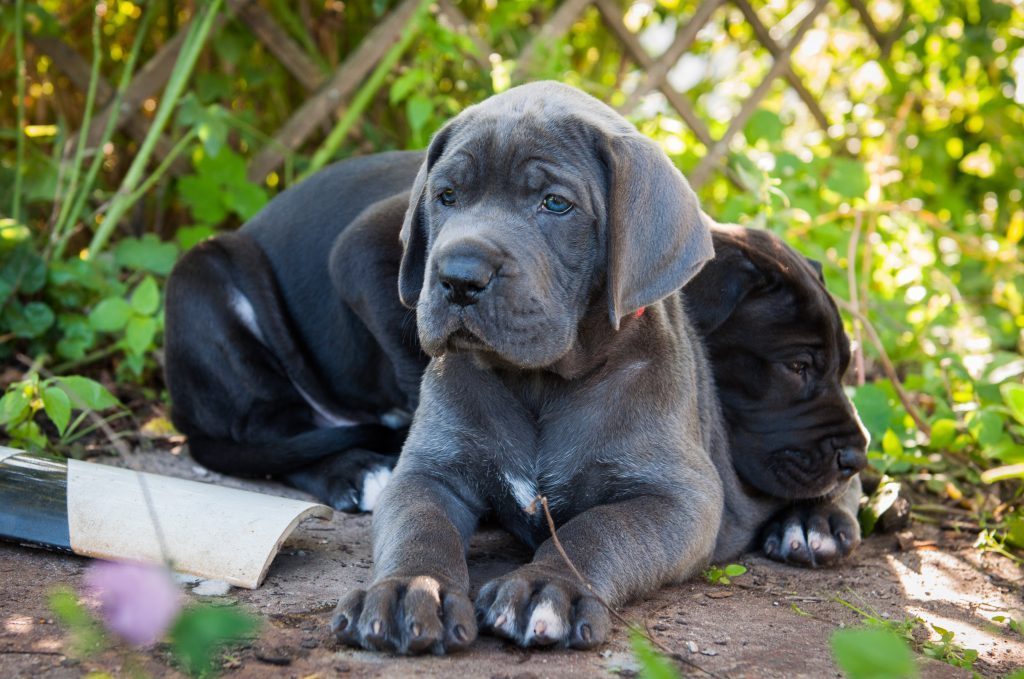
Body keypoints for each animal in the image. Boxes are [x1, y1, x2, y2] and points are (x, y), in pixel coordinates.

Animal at [331, 82, 724, 655]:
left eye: (555, 204)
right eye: (446, 196)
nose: (459, 277)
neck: (540, 383)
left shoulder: (680, 497)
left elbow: (599, 529)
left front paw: (545, 588)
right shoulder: (426, 472)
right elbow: (420, 526)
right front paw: (411, 589)